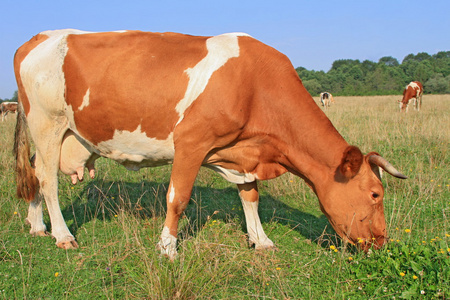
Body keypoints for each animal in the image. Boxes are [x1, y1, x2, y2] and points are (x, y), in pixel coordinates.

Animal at [14, 30, 408, 260]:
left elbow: (251, 196)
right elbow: (178, 198)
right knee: (47, 179)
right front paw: (167, 248)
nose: (382, 241)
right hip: (47, 123)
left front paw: (261, 240)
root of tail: (38, 37)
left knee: (32, 171)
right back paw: (63, 235)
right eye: (375, 193)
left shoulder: (243, 153)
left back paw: (37, 225)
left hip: (58, 131)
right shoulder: (192, 142)